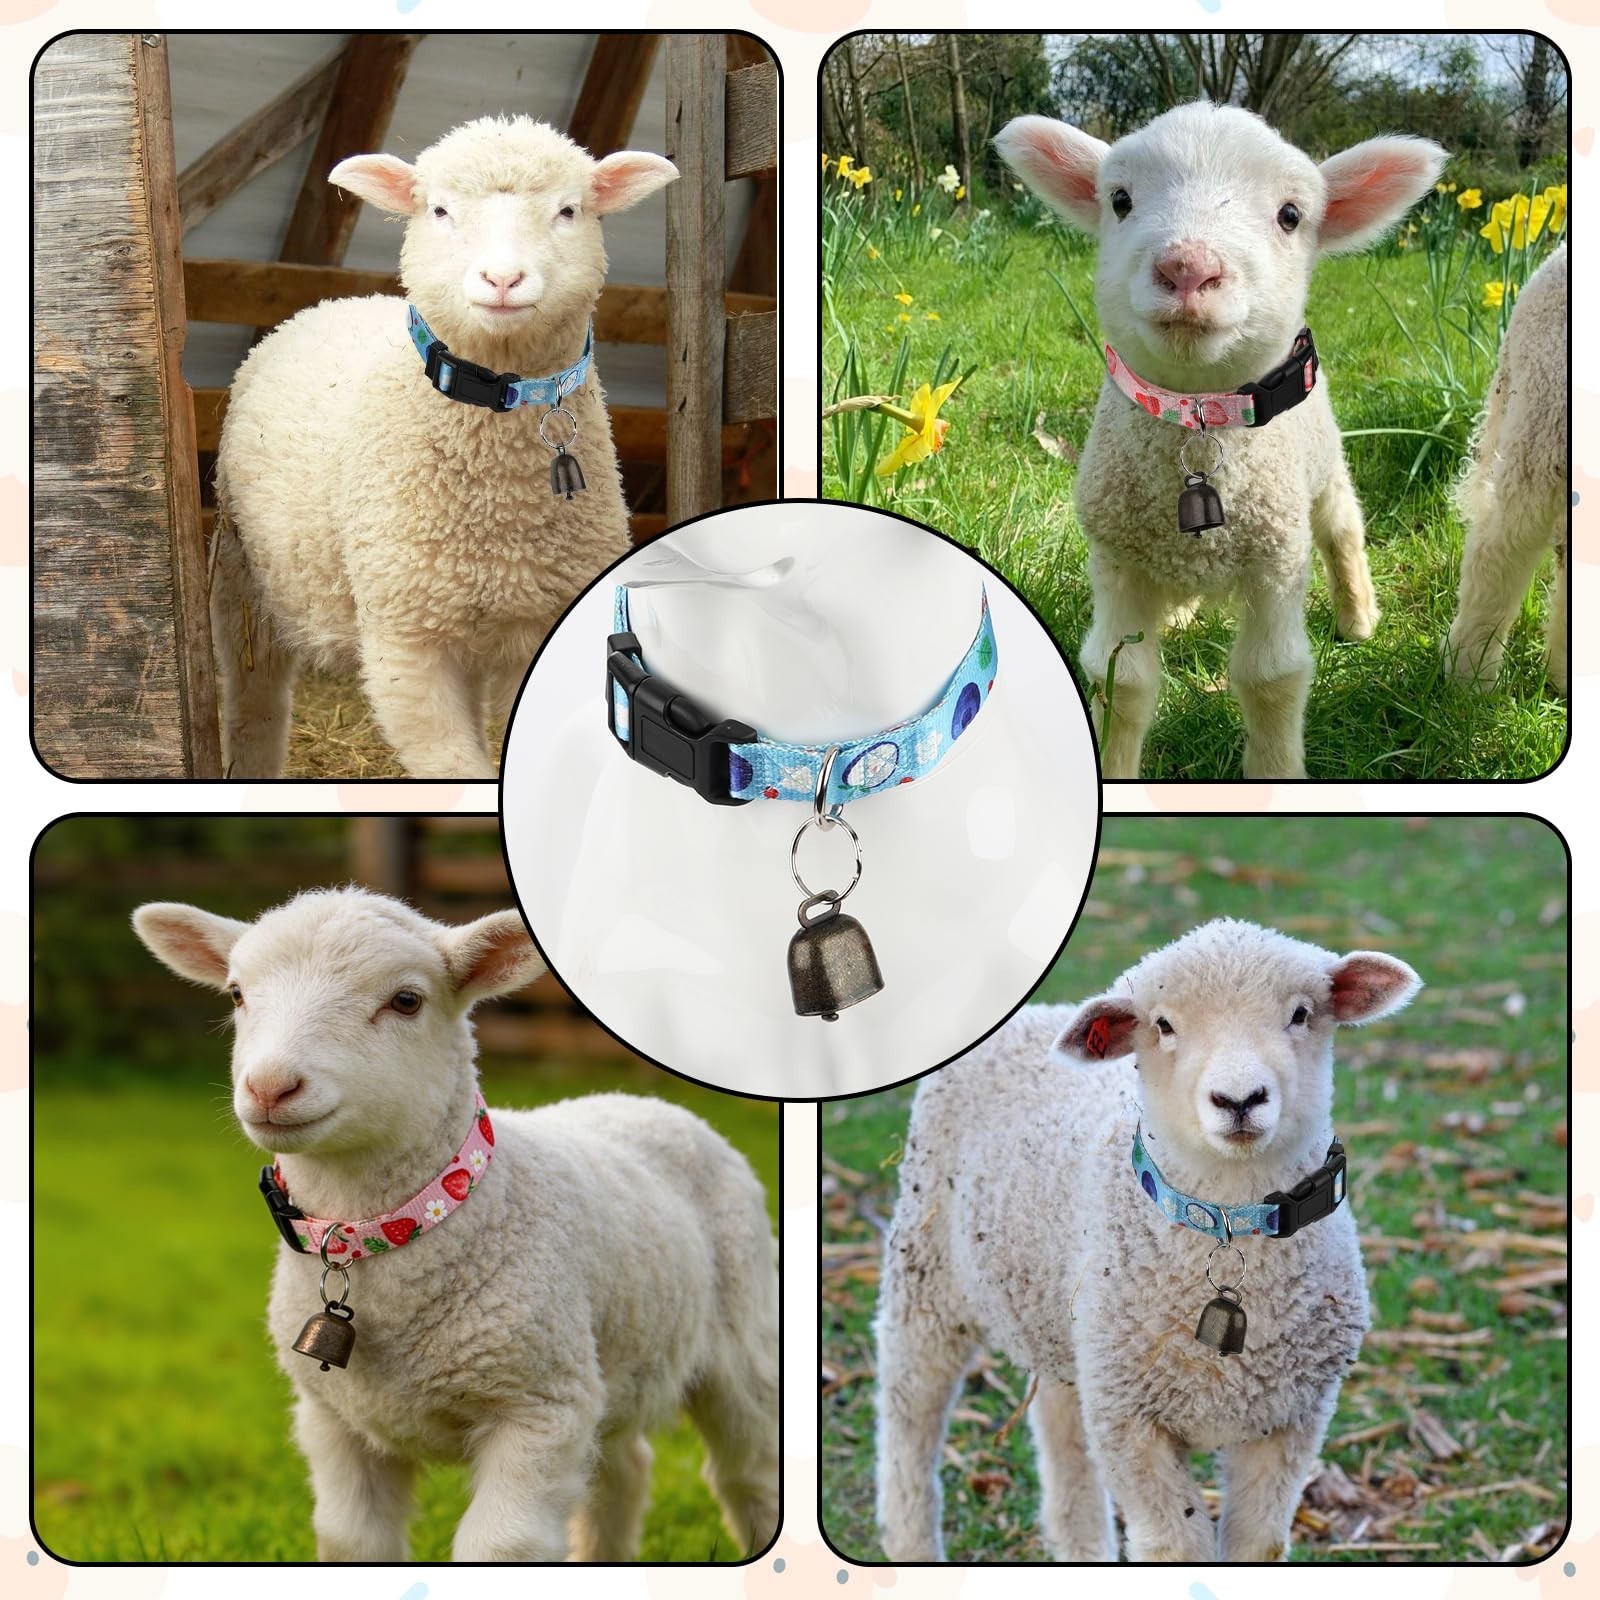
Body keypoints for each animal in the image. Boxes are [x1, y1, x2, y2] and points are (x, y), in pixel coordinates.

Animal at [131, 887, 778, 1563]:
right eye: (236, 994)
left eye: (406, 1001)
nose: (271, 1087)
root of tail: (642, 1100)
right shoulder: (332, 1418)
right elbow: (351, 1539)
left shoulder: (538, 1406)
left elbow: (502, 1547)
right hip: (614, 1359)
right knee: (624, 1470)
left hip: (741, 1339)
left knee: (747, 1470)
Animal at [212, 117, 678, 778]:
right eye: (438, 210)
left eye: (569, 210)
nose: (503, 280)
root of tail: (337, 300)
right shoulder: (407, 641)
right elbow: (455, 770)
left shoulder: (534, 624)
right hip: (244, 577)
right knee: (255, 695)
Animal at [875, 918, 1421, 1563]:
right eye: (1163, 1025)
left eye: (1301, 1013)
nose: (1239, 1100)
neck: (1230, 1221)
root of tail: (1031, 1014)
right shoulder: (1130, 1421)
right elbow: (1175, 1546)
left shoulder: (1291, 1419)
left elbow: (1256, 1542)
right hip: (926, 1268)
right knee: (910, 1413)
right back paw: (909, 1538)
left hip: (1069, 1325)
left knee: (1064, 1446)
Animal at [996, 105, 1447, 778]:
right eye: (1120, 200)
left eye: (1291, 215)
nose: (1187, 267)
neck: (1198, 416)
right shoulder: (1118, 559)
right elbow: (1120, 680)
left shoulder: (1276, 560)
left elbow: (1271, 678)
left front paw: (1276, 776)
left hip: (1323, 463)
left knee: (1343, 526)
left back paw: (1358, 617)